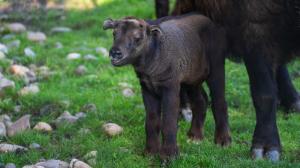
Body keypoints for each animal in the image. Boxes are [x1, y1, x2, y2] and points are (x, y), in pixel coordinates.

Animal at [103, 13, 230, 158]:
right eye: (114, 33)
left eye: (138, 38)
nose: (115, 52)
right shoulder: (147, 88)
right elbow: (152, 121)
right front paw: (150, 151)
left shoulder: (170, 86)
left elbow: (168, 122)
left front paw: (169, 155)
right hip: (191, 81)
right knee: (201, 101)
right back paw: (195, 136)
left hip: (216, 66)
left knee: (219, 101)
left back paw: (223, 140)